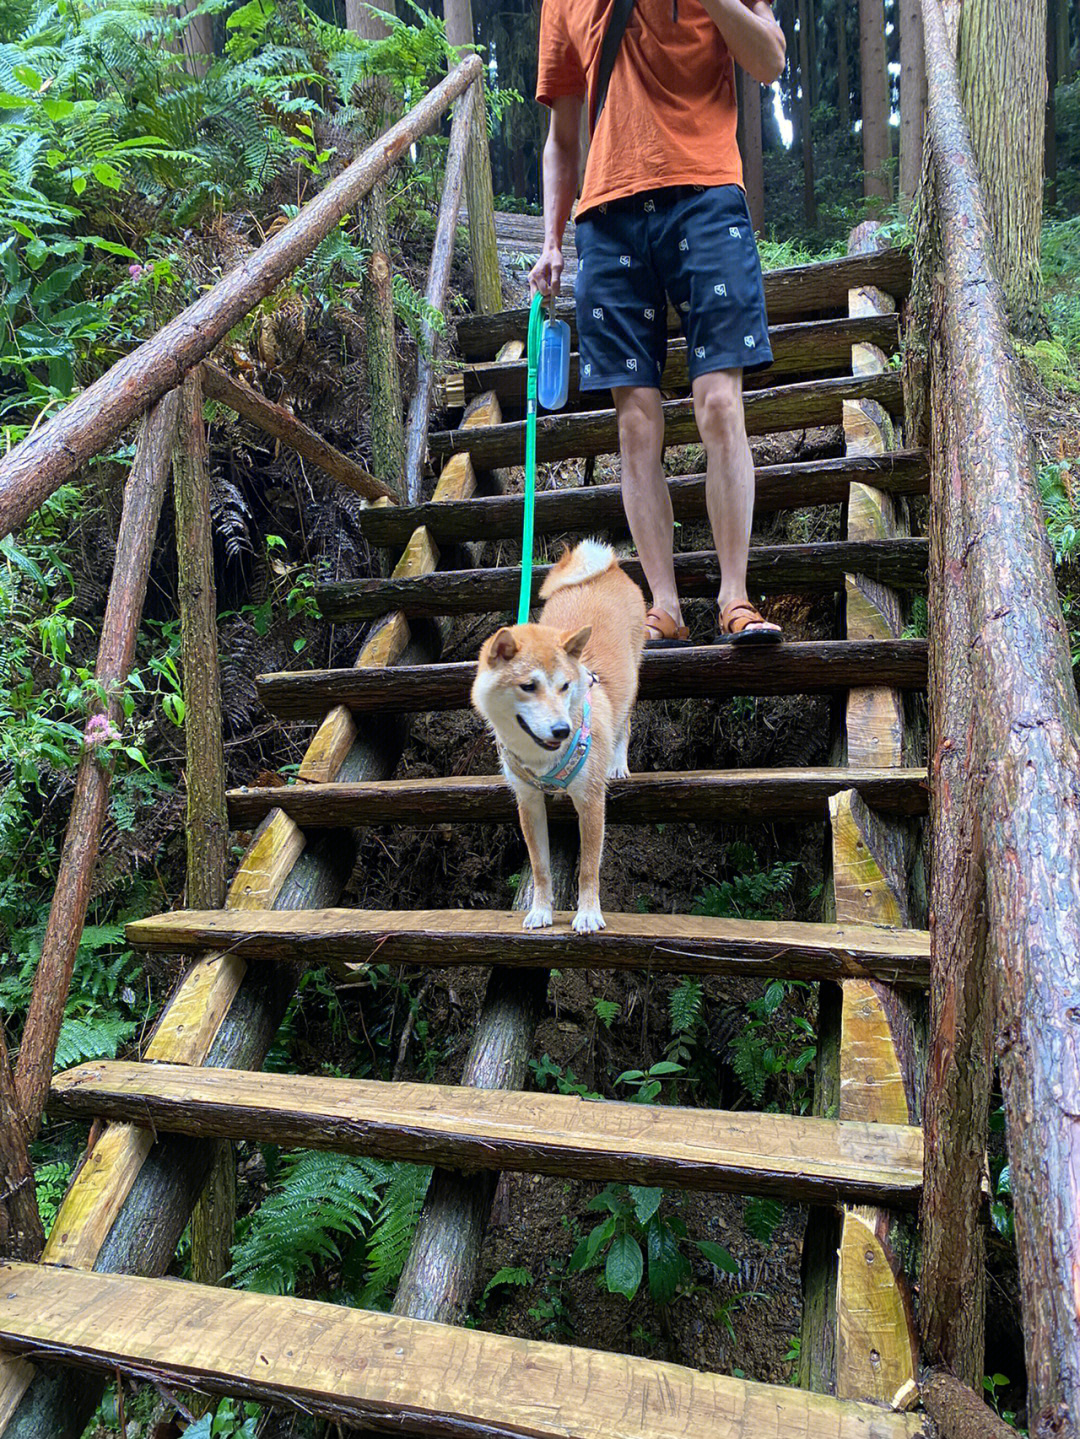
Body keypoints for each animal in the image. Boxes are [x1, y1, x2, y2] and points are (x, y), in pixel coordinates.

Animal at [471, 541, 641, 932]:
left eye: (565, 686)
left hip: (633, 679)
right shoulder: (528, 802)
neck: (541, 760)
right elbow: (540, 867)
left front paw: (589, 913)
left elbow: (589, 869)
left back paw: (618, 763)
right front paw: (541, 910)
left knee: (625, 724)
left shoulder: (591, 801)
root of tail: (607, 567)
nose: (563, 730)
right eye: (528, 686)